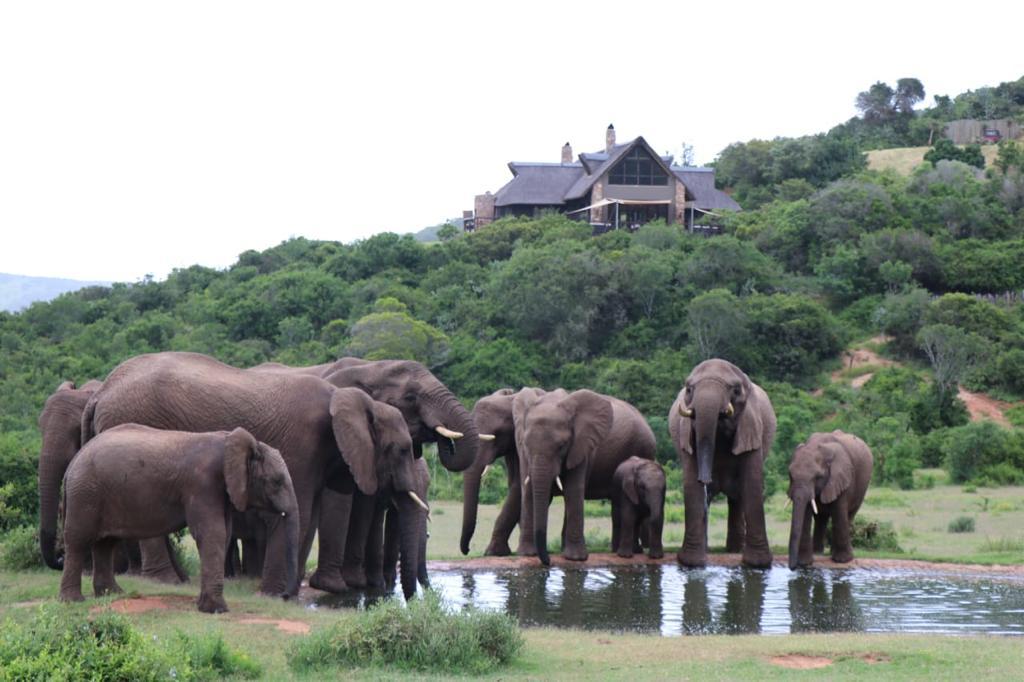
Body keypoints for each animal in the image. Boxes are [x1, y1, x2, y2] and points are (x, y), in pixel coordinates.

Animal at [60, 425, 298, 613]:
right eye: (277, 481)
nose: (285, 597)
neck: (230, 442)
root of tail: (73, 461)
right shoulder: (202, 485)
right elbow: (212, 533)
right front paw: (216, 610)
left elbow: (224, 533)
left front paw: (203, 605)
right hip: (85, 495)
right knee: (79, 541)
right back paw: (73, 601)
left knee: (105, 544)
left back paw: (113, 594)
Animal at [81, 352, 426, 600]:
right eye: (402, 450)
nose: (410, 599)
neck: (347, 398)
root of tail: (100, 393)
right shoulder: (302, 444)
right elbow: (299, 511)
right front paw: (275, 594)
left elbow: (309, 516)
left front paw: (285, 593)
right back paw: (168, 581)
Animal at [514, 388, 656, 566]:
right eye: (526, 445)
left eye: (562, 446)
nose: (548, 562)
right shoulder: (522, 450)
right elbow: (528, 491)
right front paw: (526, 554)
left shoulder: (582, 446)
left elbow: (573, 490)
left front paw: (575, 558)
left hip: (644, 449)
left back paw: (631, 551)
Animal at [669, 358, 776, 569]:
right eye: (689, 389)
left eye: (735, 390)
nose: (705, 479)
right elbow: (691, 486)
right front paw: (693, 563)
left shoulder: (752, 427)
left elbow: (752, 483)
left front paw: (758, 564)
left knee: (737, 498)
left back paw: (735, 550)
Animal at [787, 430, 873, 569]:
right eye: (790, 475)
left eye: (817, 476)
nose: (792, 568)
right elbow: (806, 513)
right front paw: (804, 563)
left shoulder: (841, 477)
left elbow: (839, 512)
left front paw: (843, 561)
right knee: (820, 518)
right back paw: (818, 552)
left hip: (862, 487)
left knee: (849, 515)